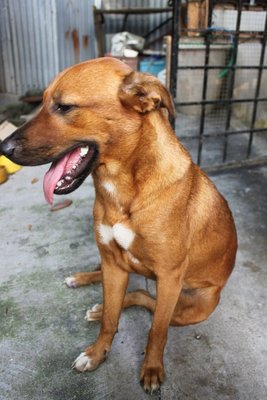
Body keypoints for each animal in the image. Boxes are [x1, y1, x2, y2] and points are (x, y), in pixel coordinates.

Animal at [0, 57, 239, 394]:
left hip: (193, 305)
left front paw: (151, 369)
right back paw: (84, 283)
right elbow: (110, 320)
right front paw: (96, 353)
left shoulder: (169, 277)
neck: (125, 190)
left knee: (147, 301)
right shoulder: (113, 264)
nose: (3, 147)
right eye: (43, 102)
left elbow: (156, 331)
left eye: (64, 106)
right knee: (127, 289)